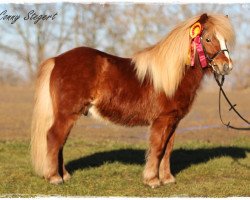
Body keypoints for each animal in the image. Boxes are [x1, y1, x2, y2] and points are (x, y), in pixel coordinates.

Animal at [30, 13, 234, 188]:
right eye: (208, 39)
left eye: (224, 40)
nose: (227, 67)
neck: (172, 76)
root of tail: (57, 60)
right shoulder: (162, 120)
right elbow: (158, 148)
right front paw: (152, 180)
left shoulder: (173, 121)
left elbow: (167, 150)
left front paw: (167, 179)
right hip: (67, 114)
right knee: (54, 138)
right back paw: (54, 177)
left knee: (60, 142)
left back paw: (64, 175)